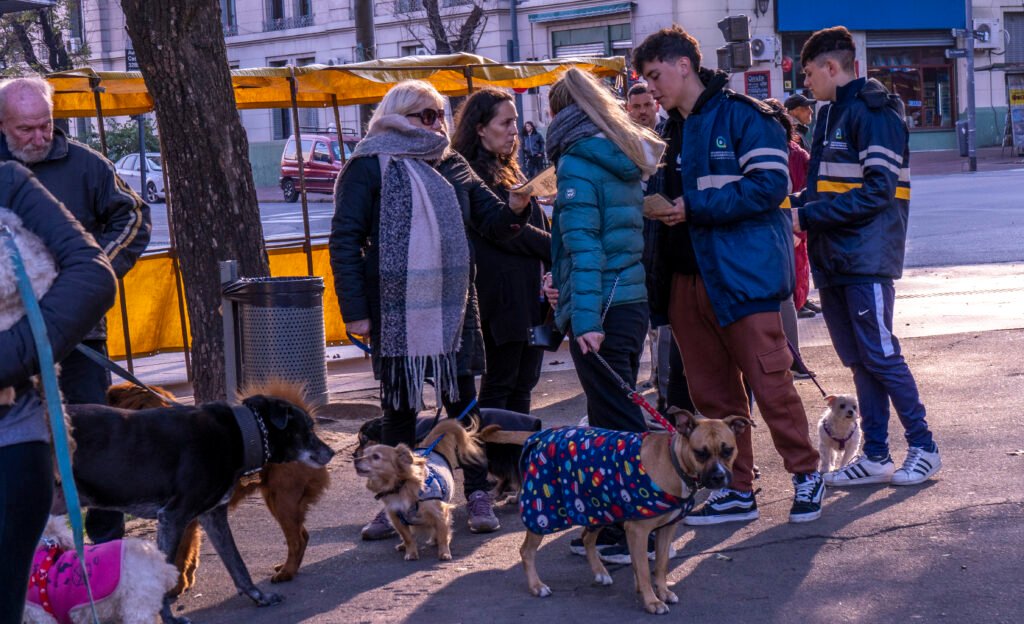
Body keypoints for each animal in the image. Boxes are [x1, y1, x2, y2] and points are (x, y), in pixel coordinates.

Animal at [65, 387, 335, 618]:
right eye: (308, 428)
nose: (331, 452)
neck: (242, 433)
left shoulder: (202, 516)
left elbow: (236, 563)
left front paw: (258, 597)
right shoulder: (179, 516)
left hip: (281, 499)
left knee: (299, 537)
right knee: (299, 536)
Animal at [356, 418, 483, 561]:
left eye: (376, 457)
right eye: (364, 454)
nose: (355, 459)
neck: (400, 486)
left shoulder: (440, 512)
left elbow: (442, 534)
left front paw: (444, 552)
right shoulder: (396, 517)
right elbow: (408, 537)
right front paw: (411, 552)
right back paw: (403, 546)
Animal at [516, 405, 749, 614]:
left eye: (728, 450)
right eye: (700, 453)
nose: (719, 477)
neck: (673, 463)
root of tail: (542, 436)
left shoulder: (666, 528)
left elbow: (661, 564)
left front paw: (662, 592)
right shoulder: (638, 531)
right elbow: (644, 569)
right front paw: (652, 601)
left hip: (598, 508)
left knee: (587, 539)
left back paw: (600, 572)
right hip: (543, 513)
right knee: (526, 551)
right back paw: (537, 586)